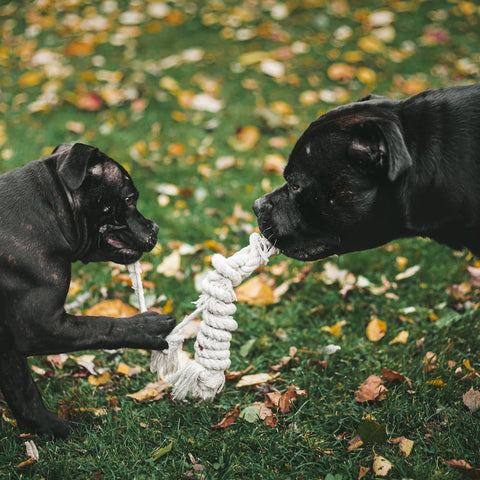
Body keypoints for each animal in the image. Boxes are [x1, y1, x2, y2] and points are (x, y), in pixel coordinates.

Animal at [0, 142, 176, 438]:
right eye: (129, 199)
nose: (156, 226)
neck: (50, 209)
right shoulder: (40, 325)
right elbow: (101, 326)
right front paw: (145, 327)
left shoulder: (9, 340)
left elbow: (22, 390)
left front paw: (50, 428)